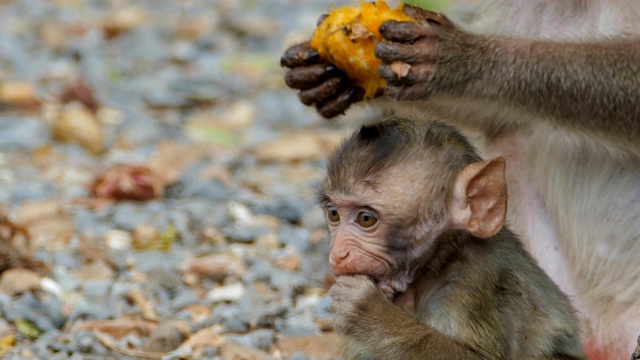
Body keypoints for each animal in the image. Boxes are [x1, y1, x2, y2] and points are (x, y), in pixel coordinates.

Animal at [316, 116, 584, 358]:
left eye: (366, 219)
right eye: (333, 214)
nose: (338, 253)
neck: (434, 267)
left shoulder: (476, 280)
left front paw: (370, 312)